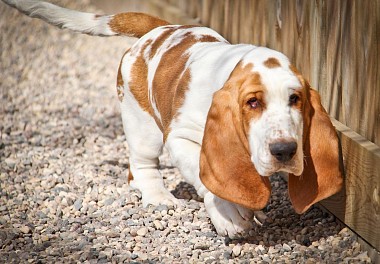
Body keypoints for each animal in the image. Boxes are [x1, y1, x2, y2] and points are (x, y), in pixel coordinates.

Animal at [0, 0, 344, 238]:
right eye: (253, 102)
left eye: (295, 99)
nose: (284, 151)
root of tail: (160, 28)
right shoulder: (180, 139)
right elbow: (205, 178)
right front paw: (228, 214)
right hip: (144, 130)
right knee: (141, 168)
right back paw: (159, 198)